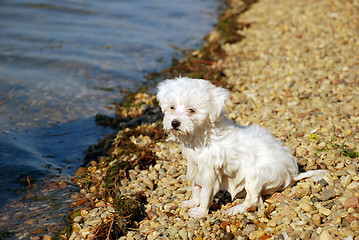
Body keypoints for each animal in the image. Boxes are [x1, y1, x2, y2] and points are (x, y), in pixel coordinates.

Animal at [158, 77, 330, 218]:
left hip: (256, 174)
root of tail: (292, 174)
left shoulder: (209, 172)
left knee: (254, 200)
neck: (201, 135)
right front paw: (193, 202)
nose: (175, 122)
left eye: (192, 110)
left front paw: (200, 212)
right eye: (172, 107)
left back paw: (236, 209)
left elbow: (205, 193)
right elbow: (196, 187)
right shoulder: (195, 165)